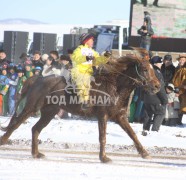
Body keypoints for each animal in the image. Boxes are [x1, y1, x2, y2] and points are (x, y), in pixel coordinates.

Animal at [0, 48, 160, 162]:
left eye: (153, 69)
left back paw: (36, 153)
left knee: (35, 129)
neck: (115, 85)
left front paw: (145, 153)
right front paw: (104, 157)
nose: (157, 86)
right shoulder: (103, 115)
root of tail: (38, 79)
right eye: (145, 69)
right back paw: (4, 141)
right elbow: (102, 136)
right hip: (32, 107)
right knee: (16, 124)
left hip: (49, 112)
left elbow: (133, 134)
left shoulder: (120, 117)